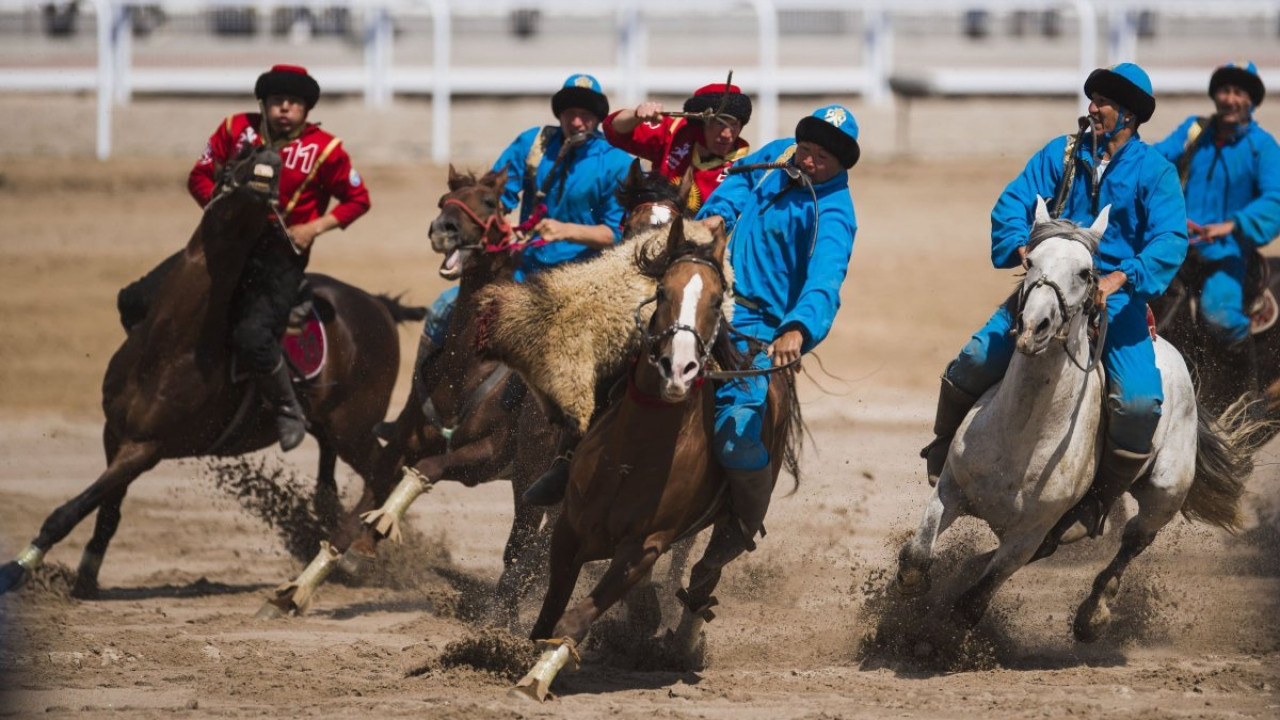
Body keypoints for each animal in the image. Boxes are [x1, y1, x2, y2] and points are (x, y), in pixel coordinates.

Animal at [0, 142, 417, 597]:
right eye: (238, 155)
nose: (268, 158)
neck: (170, 345)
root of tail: (377, 305)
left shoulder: (146, 447)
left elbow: (71, 509)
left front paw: (17, 569)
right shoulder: (115, 433)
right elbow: (106, 511)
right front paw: (85, 578)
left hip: (354, 428)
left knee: (384, 469)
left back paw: (358, 551)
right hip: (333, 429)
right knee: (329, 481)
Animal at [258, 163, 555, 622]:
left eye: (490, 202)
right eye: (443, 201)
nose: (443, 229)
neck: (467, 370)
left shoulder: (484, 457)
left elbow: (428, 469)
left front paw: (378, 528)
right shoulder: (396, 446)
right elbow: (350, 519)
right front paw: (294, 591)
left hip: (532, 476)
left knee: (528, 544)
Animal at [509, 219, 798, 702]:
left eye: (717, 300)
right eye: (662, 291)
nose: (677, 369)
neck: (633, 455)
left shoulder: (644, 548)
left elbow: (575, 620)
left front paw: (536, 679)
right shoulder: (569, 529)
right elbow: (549, 614)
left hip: (731, 523)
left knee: (704, 576)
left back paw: (682, 645)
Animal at [896, 196, 1254, 638]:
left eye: (1086, 272)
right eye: (1030, 261)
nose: (1034, 326)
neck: (1021, 434)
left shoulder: (1026, 536)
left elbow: (972, 603)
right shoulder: (950, 488)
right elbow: (916, 560)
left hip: (1165, 492)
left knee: (1135, 540)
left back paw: (1093, 614)